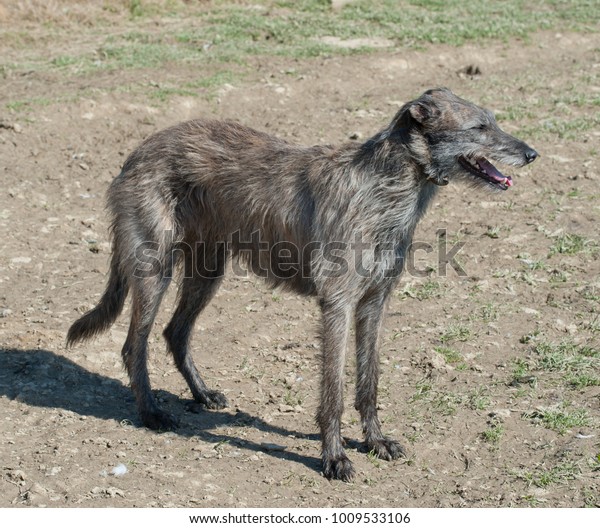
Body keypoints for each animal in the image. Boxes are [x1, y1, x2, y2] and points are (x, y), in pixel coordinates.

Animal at [68, 88, 536, 480]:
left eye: (494, 121)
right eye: (479, 127)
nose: (532, 153)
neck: (387, 183)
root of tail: (139, 150)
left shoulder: (374, 303)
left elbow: (369, 381)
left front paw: (375, 440)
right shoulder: (337, 305)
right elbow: (334, 391)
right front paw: (334, 457)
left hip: (208, 269)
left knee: (175, 332)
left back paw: (201, 394)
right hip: (155, 269)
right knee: (135, 345)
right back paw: (151, 413)